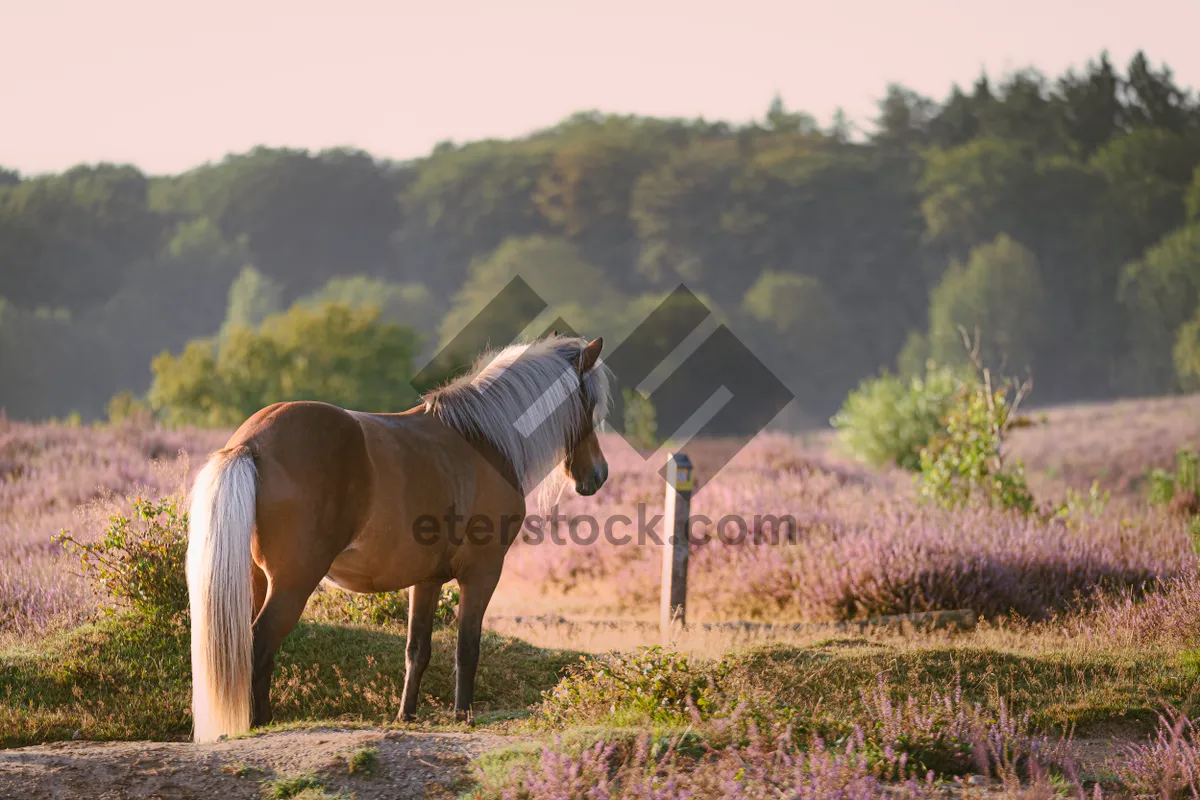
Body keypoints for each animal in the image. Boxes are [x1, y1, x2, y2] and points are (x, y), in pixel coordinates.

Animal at [186, 333, 609, 743]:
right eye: (589, 406)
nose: (598, 475)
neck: (483, 441)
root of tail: (251, 444)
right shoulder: (483, 573)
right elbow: (467, 647)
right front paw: (463, 716)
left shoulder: (426, 580)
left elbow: (417, 649)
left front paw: (406, 715)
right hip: (292, 584)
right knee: (258, 645)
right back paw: (260, 723)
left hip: (254, 579)